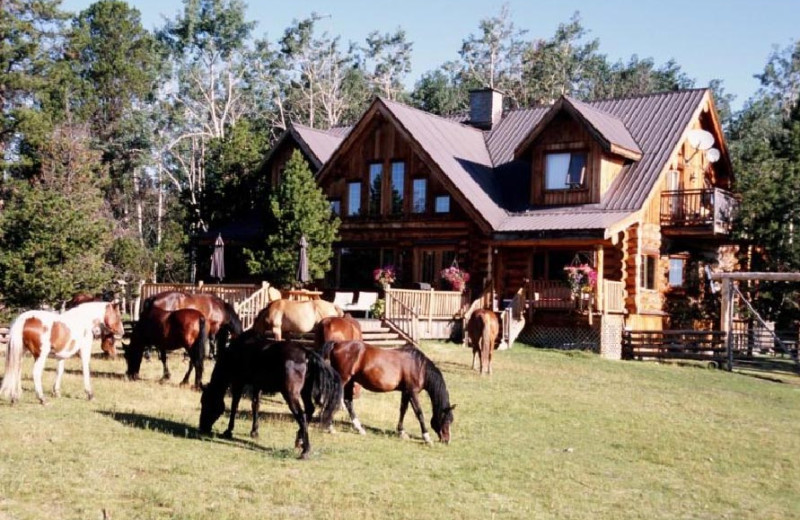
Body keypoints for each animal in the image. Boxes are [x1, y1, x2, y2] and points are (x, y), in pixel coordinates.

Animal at [320, 340, 456, 444]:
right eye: (446, 420)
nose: (447, 440)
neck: (419, 367)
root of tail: (337, 344)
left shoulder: (406, 392)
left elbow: (403, 410)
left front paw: (401, 432)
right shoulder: (413, 392)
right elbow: (419, 413)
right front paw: (426, 437)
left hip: (350, 381)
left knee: (348, 402)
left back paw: (359, 429)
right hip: (344, 380)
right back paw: (330, 427)